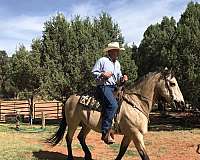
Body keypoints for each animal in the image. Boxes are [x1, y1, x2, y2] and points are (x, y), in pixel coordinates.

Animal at [48, 68, 184, 159]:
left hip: (86, 125)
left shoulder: (129, 134)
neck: (137, 103)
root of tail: (69, 98)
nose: (181, 103)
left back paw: (88, 155)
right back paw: (71, 157)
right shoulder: (136, 134)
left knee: (80, 137)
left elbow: (121, 152)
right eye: (172, 83)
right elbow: (144, 155)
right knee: (69, 138)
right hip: (73, 123)